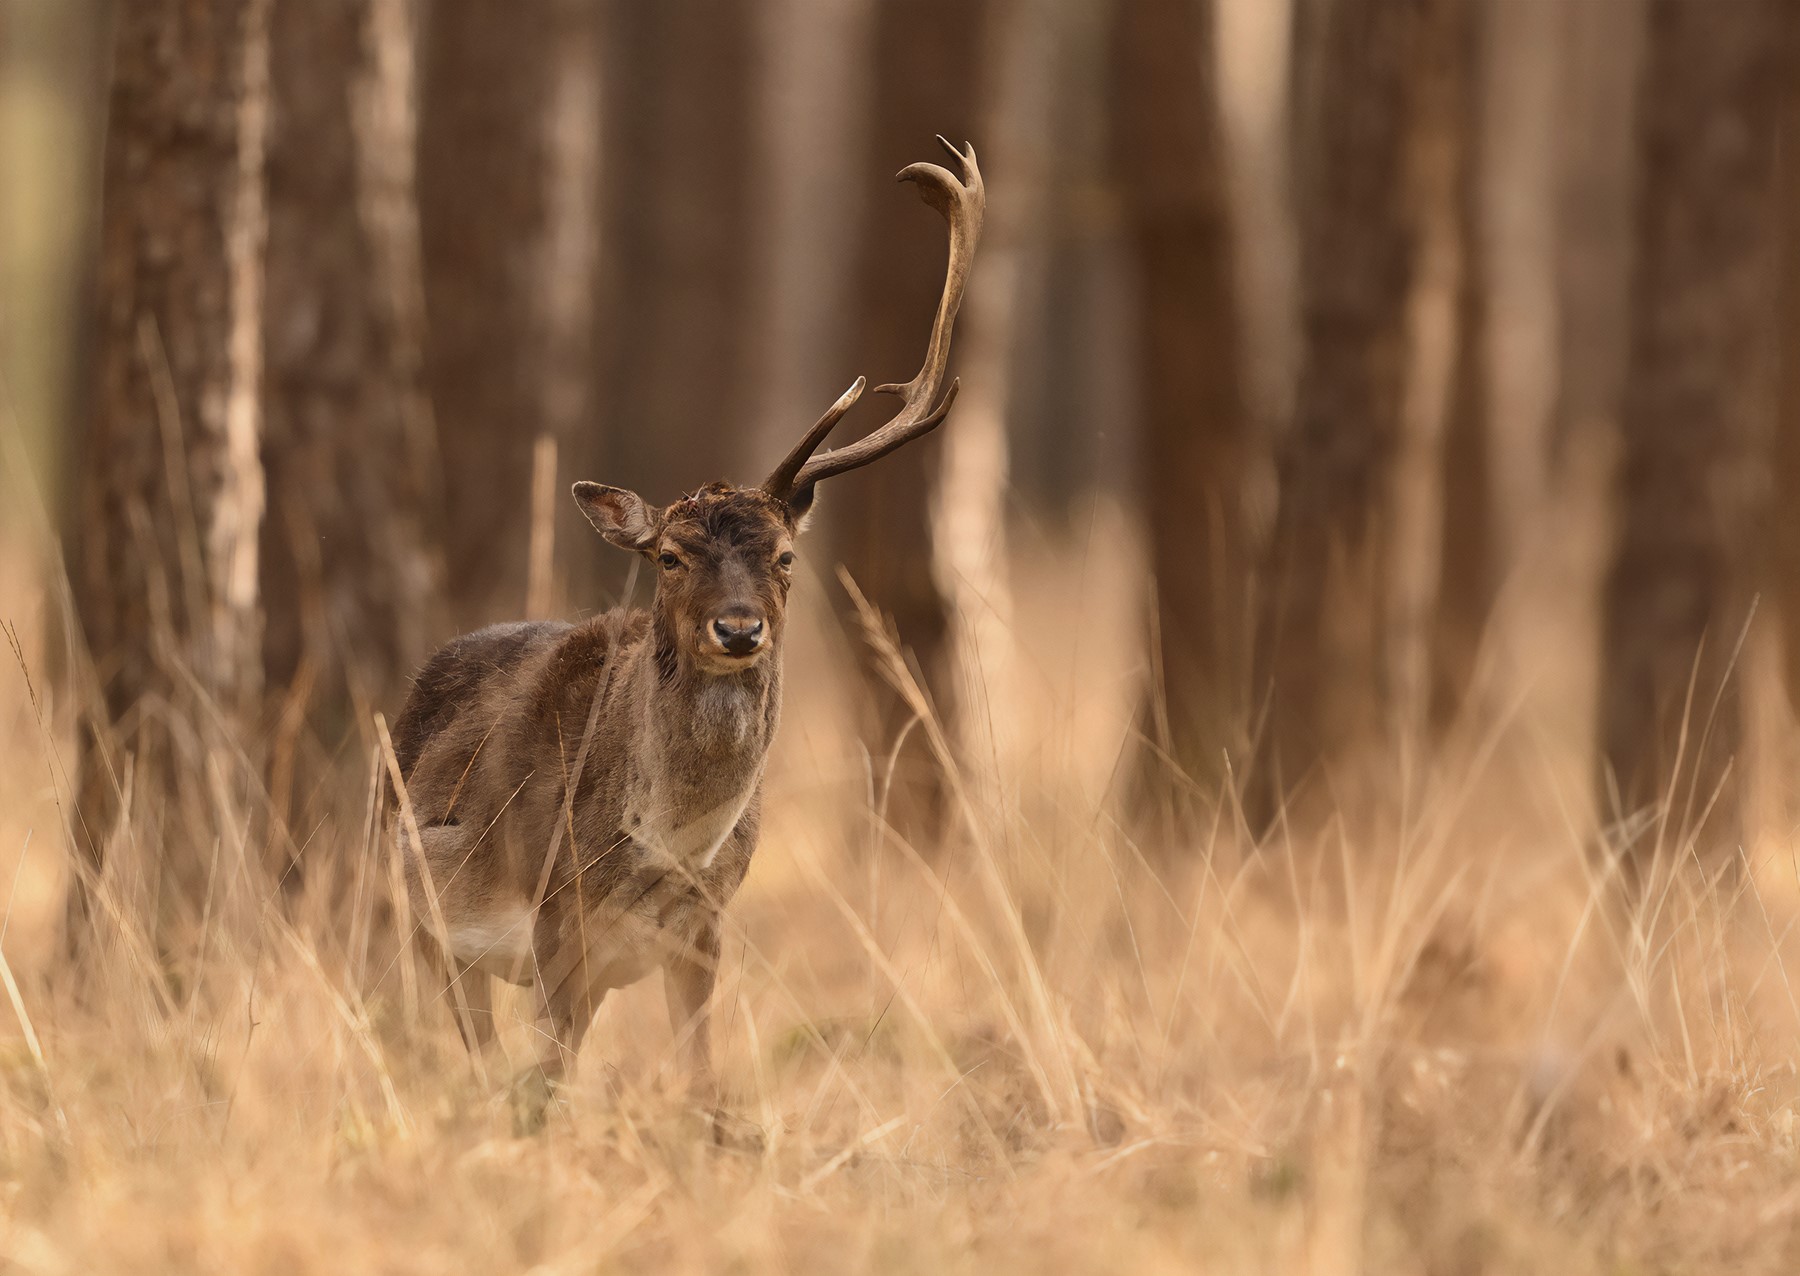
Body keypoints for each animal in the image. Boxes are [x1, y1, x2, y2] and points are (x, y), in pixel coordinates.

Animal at [387, 134, 993, 1123]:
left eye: (784, 556)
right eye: (670, 557)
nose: (738, 629)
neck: (673, 845)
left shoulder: (704, 928)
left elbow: (702, 1082)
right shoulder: (557, 916)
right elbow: (546, 1078)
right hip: (420, 915)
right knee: (454, 1039)